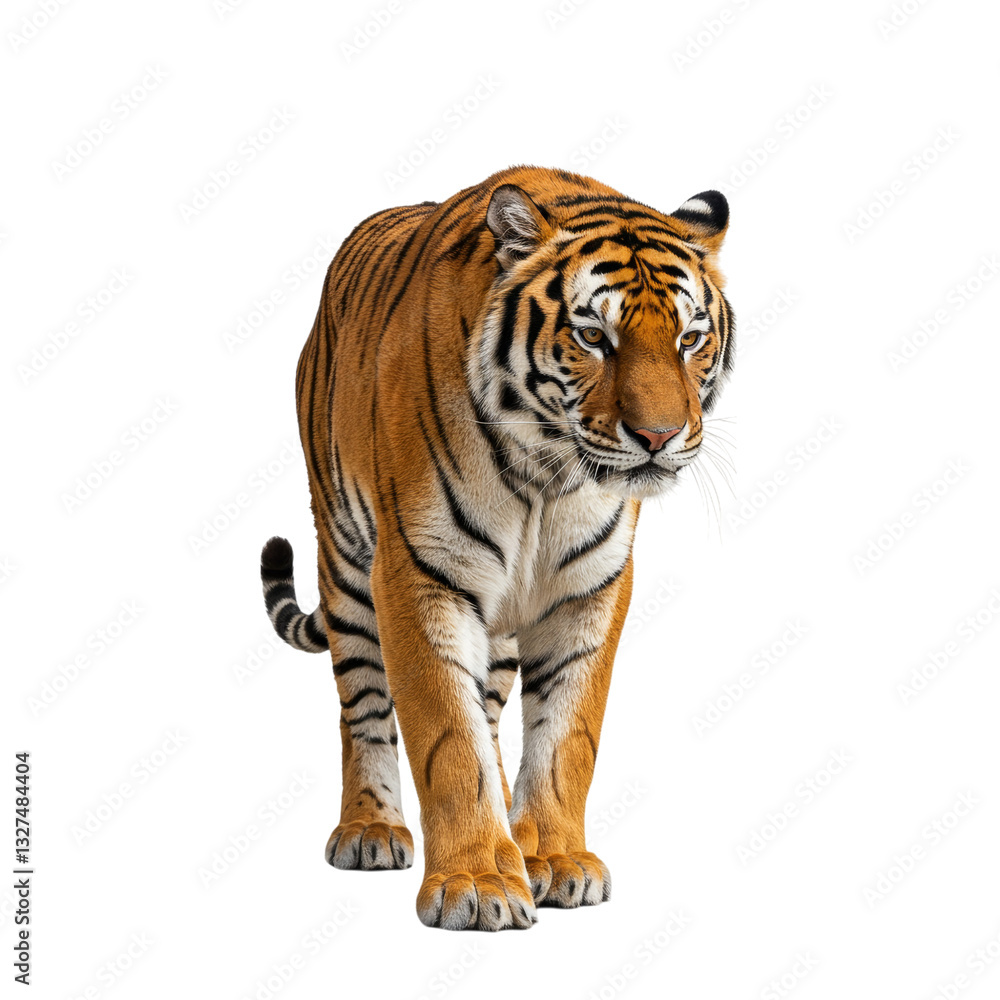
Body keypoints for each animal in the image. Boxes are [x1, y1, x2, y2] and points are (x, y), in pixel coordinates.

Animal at [259, 165, 733, 931]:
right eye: (592, 335)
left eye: (690, 338)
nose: (659, 437)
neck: (550, 474)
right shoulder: (419, 573)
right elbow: (447, 737)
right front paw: (478, 883)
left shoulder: (588, 589)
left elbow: (567, 737)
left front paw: (554, 860)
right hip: (345, 562)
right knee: (364, 706)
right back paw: (371, 829)